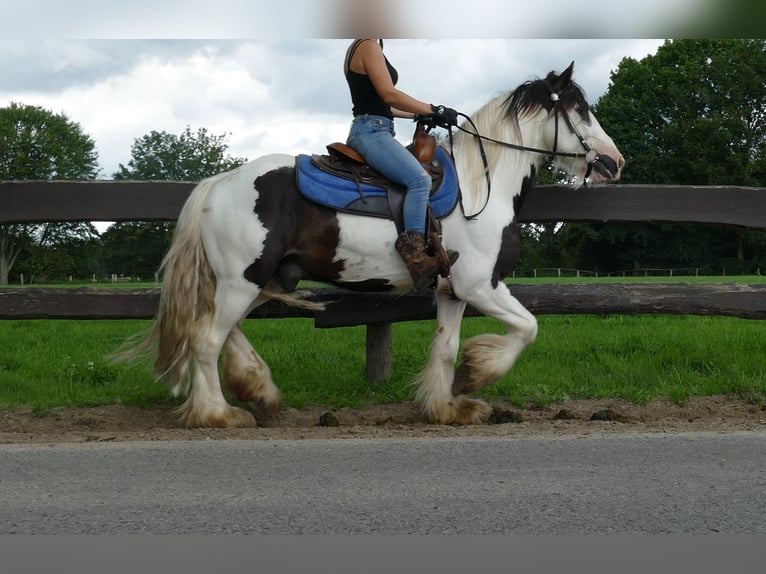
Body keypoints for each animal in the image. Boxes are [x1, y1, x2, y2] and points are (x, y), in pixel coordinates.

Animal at [121, 64, 624, 432]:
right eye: (580, 110)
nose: (614, 162)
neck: (479, 187)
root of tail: (219, 183)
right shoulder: (482, 285)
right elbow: (528, 328)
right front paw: (475, 376)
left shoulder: (453, 291)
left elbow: (446, 348)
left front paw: (448, 407)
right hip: (241, 280)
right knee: (207, 338)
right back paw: (218, 413)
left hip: (257, 280)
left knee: (224, 333)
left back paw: (257, 387)